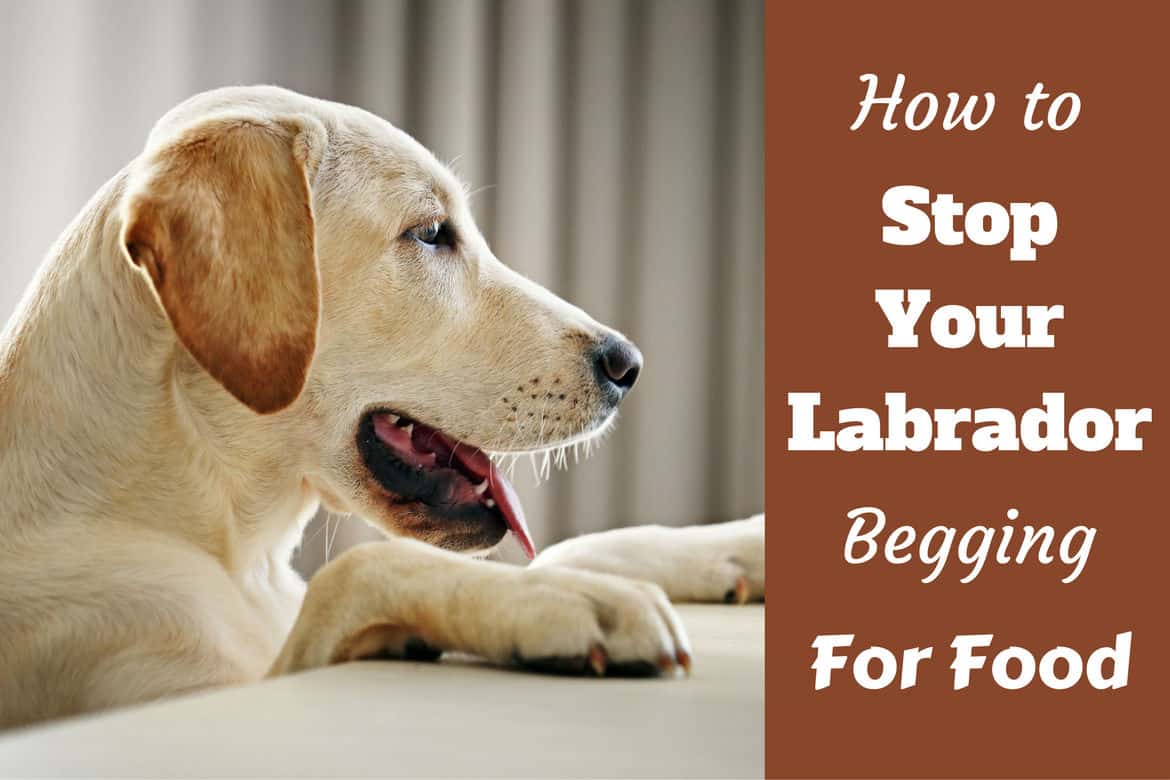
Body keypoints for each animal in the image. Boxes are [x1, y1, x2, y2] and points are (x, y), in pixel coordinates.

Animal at [0, 87, 762, 734]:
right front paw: (568, 601)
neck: (231, 549)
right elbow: (359, 570)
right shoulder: (174, 684)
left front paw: (730, 549)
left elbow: (566, 548)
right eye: (429, 233)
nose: (627, 365)